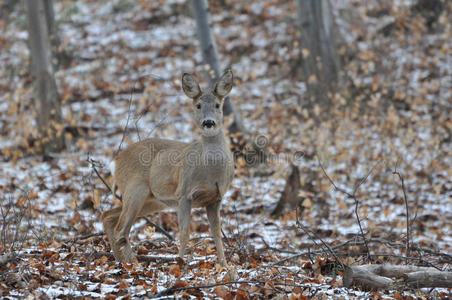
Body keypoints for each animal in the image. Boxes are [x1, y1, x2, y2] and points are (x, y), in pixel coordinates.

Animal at [102, 68, 235, 268]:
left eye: (218, 105)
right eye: (198, 106)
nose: (208, 122)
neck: (210, 172)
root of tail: (115, 161)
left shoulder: (216, 198)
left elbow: (216, 233)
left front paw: (224, 265)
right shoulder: (184, 193)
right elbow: (184, 232)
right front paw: (180, 262)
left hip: (152, 200)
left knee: (108, 215)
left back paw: (120, 262)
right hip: (135, 189)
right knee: (121, 229)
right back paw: (133, 263)